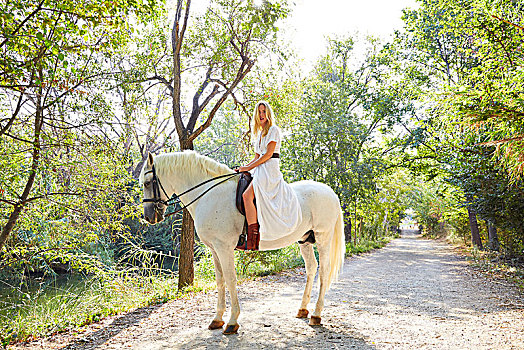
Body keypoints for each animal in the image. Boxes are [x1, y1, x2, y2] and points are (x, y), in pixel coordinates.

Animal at [139, 150, 346, 334]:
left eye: (148, 183)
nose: (149, 217)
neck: (209, 194)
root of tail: (329, 191)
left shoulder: (224, 248)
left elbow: (231, 279)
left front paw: (232, 322)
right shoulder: (215, 249)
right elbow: (220, 280)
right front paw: (217, 319)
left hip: (323, 237)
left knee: (324, 271)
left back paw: (316, 315)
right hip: (304, 240)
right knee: (311, 267)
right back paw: (303, 309)